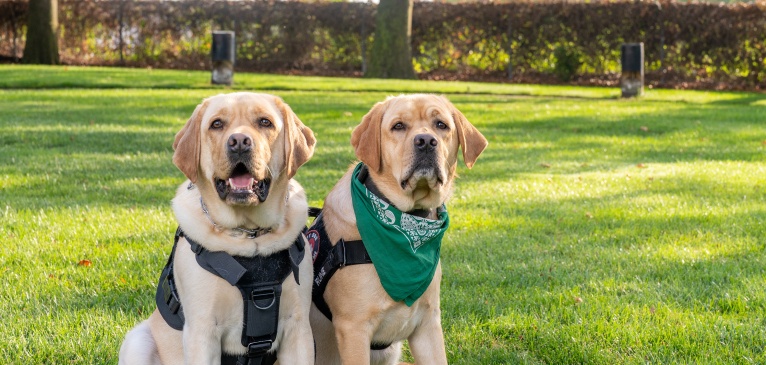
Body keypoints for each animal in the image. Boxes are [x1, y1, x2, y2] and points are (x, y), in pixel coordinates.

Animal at [118, 93, 316, 364]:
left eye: (265, 122)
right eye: (217, 124)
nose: (239, 142)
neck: (249, 235)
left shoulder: (298, 327)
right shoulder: (202, 331)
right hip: (138, 341)